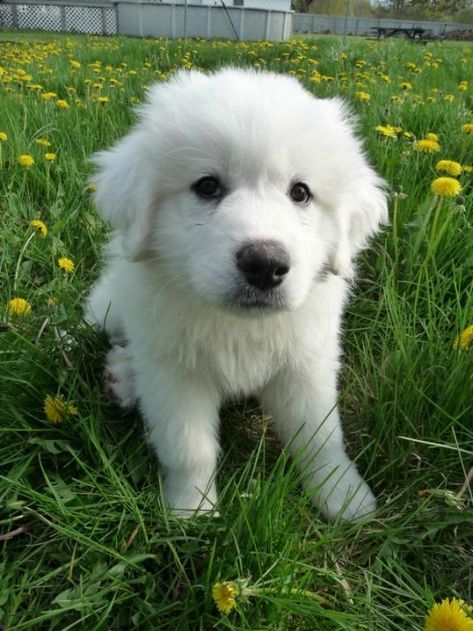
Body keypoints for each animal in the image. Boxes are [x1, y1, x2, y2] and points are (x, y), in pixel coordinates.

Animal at [85, 68, 388, 524]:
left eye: (300, 192)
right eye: (207, 186)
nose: (265, 264)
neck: (238, 325)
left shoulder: (307, 363)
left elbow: (320, 437)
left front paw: (345, 497)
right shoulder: (175, 375)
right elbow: (189, 447)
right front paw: (192, 510)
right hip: (112, 309)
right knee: (122, 340)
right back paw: (122, 377)